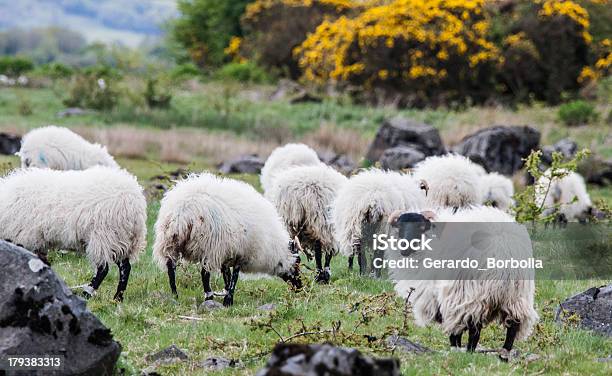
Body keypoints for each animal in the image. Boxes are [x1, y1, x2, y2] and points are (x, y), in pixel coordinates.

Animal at [0, 166, 147, 302]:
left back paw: (87, 293)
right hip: (121, 239)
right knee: (125, 267)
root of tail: (135, 202)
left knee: (103, 269)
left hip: (104, 236)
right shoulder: (38, 242)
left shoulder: (26, 239)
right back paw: (117, 298)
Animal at [153, 173, 302, 306]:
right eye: (297, 263)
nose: (300, 287)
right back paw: (208, 297)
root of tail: (183, 211)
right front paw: (228, 300)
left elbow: (227, 275)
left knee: (171, 269)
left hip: (169, 241)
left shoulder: (227, 253)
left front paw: (226, 296)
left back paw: (175, 295)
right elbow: (234, 278)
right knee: (204, 273)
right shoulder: (241, 253)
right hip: (208, 245)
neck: (272, 246)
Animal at [392, 207, 536, 356]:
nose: (405, 248)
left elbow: (455, 330)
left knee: (474, 329)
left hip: (471, 294)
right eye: (399, 226)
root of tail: (503, 250)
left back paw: (469, 352)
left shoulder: (445, 298)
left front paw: (455, 349)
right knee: (514, 324)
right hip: (515, 296)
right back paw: (504, 354)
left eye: (421, 227)